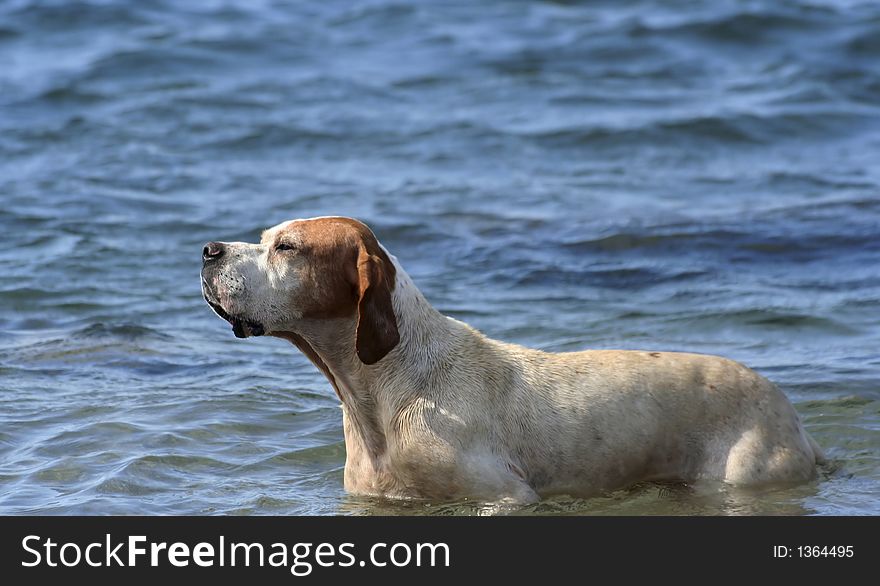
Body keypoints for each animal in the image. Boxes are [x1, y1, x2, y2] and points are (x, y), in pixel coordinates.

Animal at [201, 217, 824, 500]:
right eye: (265, 237)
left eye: (287, 247)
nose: (208, 250)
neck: (386, 394)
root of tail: (789, 412)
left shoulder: (503, 497)